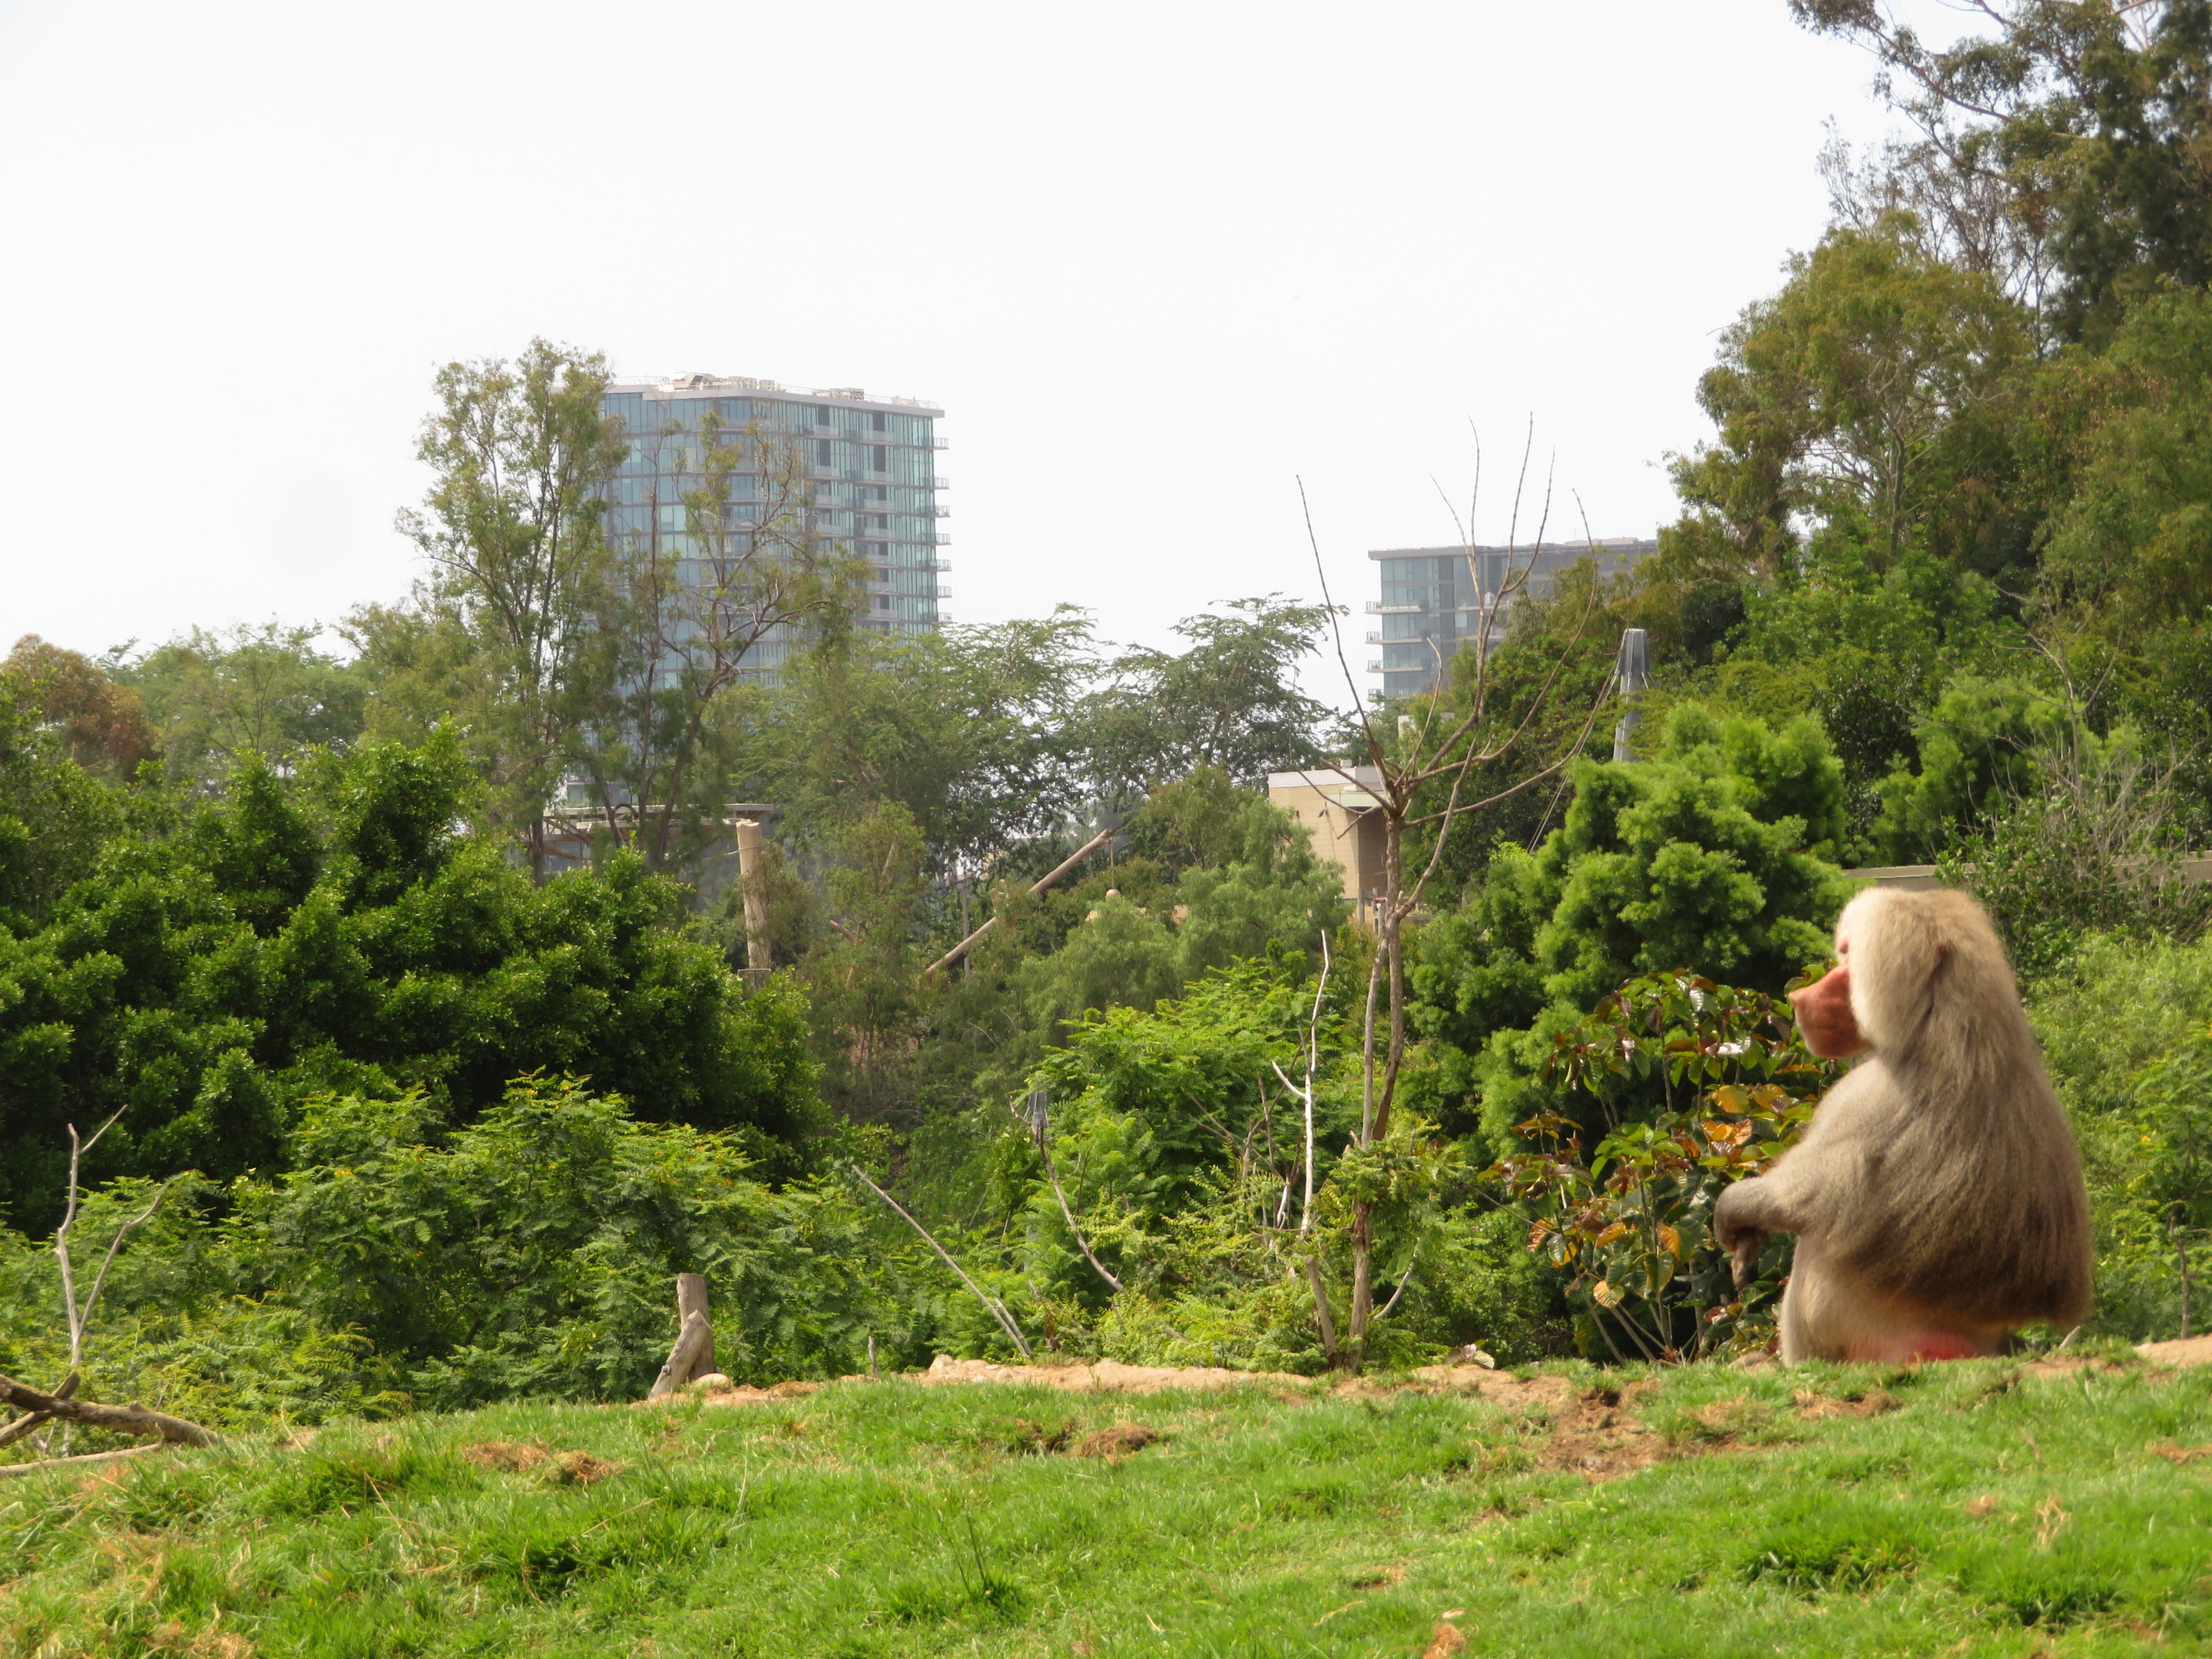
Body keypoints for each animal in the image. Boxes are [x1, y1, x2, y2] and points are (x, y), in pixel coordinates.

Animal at [1713, 885, 2091, 1364]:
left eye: (1848, 955)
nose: (1800, 998)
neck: (1943, 1023)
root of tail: (1981, 1344)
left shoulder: (1861, 1096)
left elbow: (1810, 1196)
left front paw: (1736, 1210)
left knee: (1817, 1247)